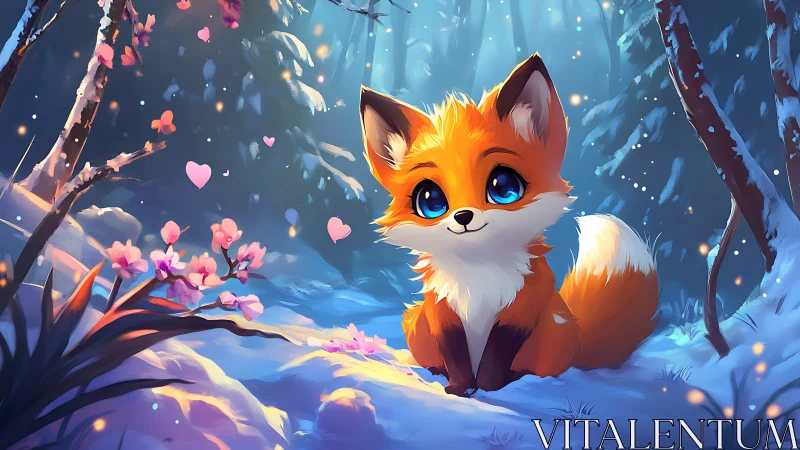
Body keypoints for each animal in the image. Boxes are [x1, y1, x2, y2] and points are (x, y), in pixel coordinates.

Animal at [359, 54, 660, 396]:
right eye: (431, 200)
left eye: (503, 186)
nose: (463, 216)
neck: (478, 276)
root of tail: (578, 334)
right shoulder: (443, 314)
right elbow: (456, 358)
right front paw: (458, 389)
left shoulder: (519, 312)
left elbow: (496, 358)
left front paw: (489, 390)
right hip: (417, 326)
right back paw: (436, 371)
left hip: (552, 333)